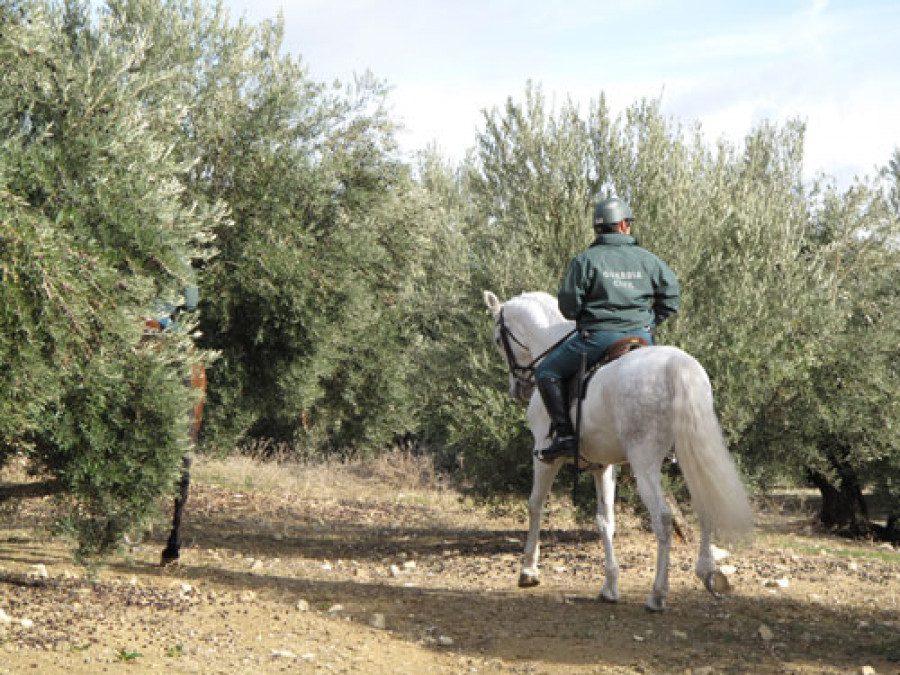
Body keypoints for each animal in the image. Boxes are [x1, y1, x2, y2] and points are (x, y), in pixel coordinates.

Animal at [486, 290, 752, 612]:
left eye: (498, 340)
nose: (519, 389)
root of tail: (677, 365)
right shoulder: (602, 465)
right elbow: (606, 521)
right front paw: (610, 586)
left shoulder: (544, 456)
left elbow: (536, 504)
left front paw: (528, 570)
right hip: (691, 454)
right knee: (704, 502)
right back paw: (708, 572)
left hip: (644, 462)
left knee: (663, 519)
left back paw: (657, 594)